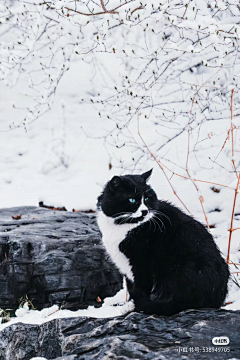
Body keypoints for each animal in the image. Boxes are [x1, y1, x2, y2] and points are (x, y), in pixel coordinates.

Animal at [96, 169, 230, 316]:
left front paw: (133, 306)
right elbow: (131, 288)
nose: (145, 211)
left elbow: (140, 287)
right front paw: (130, 304)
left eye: (147, 199)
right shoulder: (126, 267)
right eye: (132, 200)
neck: (123, 226)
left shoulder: (141, 263)